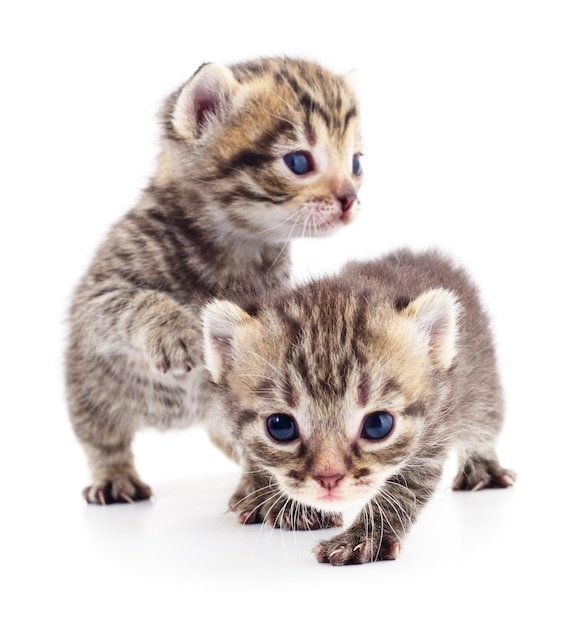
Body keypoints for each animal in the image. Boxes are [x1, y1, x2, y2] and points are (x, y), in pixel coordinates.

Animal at [66, 56, 362, 500]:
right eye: (298, 162)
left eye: (357, 163)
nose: (350, 199)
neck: (234, 246)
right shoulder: (100, 294)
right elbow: (134, 301)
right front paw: (174, 331)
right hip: (90, 390)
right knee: (104, 439)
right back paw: (114, 476)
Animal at [203, 249, 512, 564]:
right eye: (280, 426)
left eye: (378, 425)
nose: (329, 477)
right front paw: (281, 502)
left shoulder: (435, 429)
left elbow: (405, 486)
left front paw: (365, 538)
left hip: (483, 387)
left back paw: (483, 470)